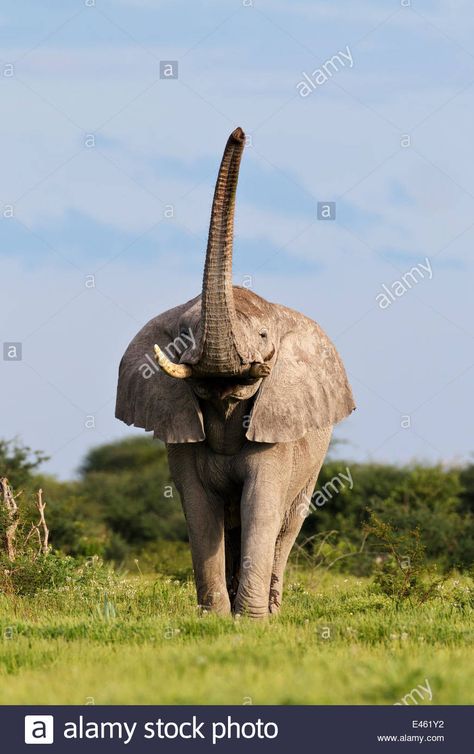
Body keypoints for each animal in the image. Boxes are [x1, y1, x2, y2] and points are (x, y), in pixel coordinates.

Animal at [115, 126, 354, 612]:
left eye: (263, 336)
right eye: (183, 334)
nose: (240, 132)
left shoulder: (276, 428)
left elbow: (261, 504)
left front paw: (252, 619)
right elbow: (199, 509)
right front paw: (213, 617)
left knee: (287, 522)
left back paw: (274, 608)